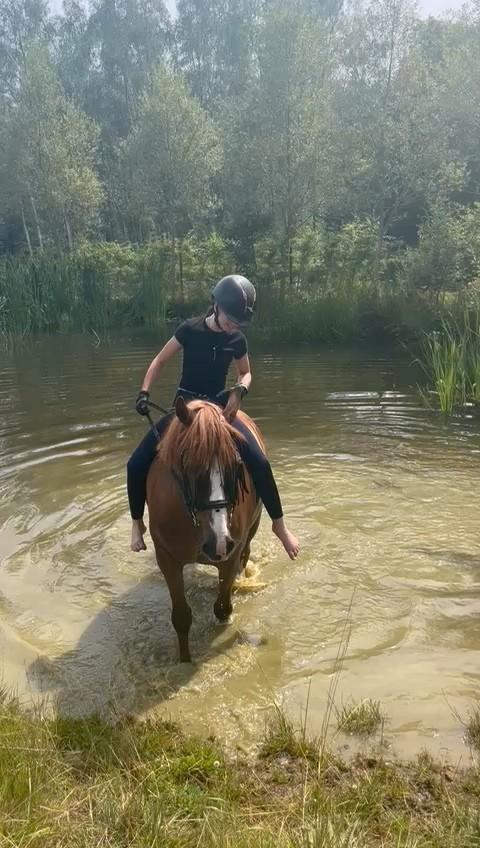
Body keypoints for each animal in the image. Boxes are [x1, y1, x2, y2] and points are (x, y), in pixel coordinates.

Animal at [146, 396, 263, 662]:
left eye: (236, 465)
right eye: (187, 464)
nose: (218, 542)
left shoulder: (230, 555)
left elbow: (222, 608)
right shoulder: (166, 558)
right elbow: (181, 617)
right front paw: (185, 661)